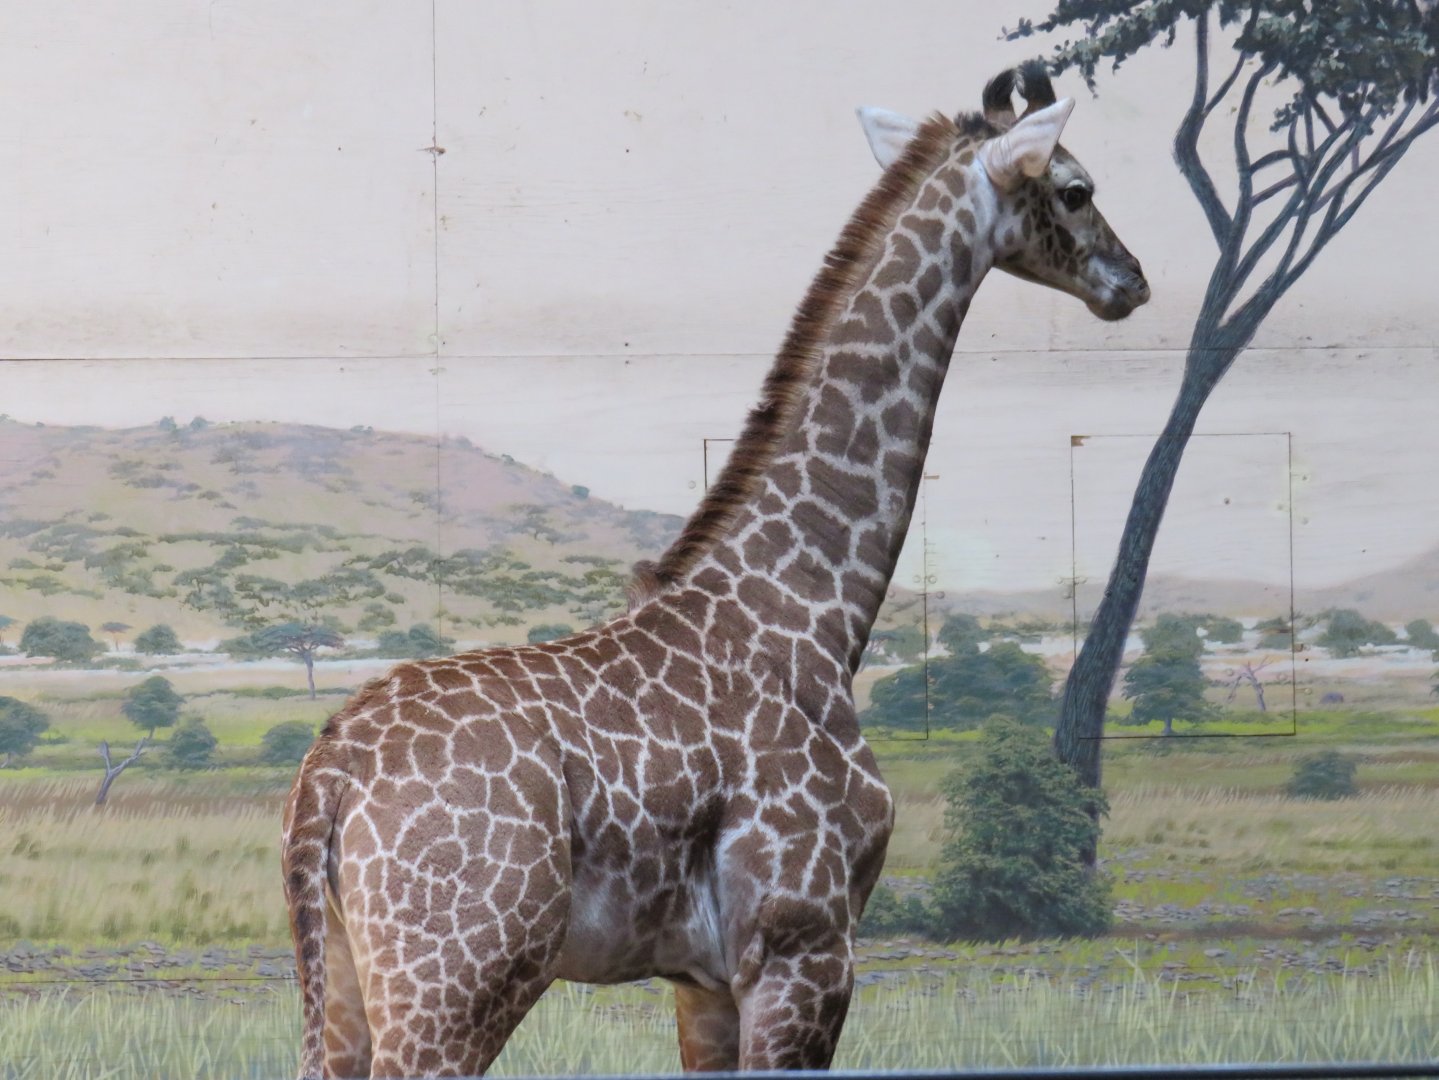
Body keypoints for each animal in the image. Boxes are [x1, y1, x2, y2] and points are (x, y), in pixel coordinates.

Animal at [282, 64, 1148, 1080]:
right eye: (1077, 188)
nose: (1131, 280)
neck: (812, 613)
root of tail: (331, 775)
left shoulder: (701, 980)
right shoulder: (802, 945)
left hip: (347, 978)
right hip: (455, 981)